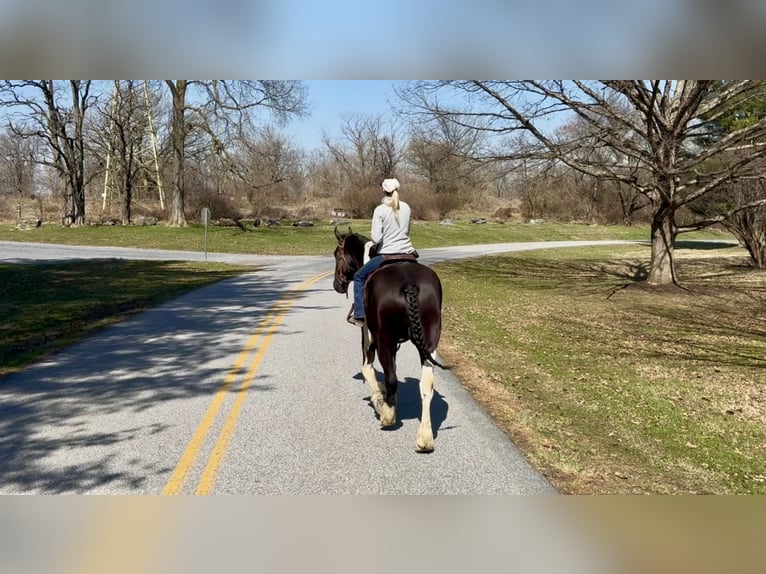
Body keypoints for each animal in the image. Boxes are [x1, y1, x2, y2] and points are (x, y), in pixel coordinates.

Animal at [332, 226, 446, 453]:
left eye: (335, 254)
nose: (336, 285)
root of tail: (410, 285)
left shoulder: (369, 335)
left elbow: (367, 368)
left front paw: (379, 400)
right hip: (430, 342)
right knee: (426, 385)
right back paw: (425, 438)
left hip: (383, 338)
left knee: (391, 377)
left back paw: (387, 416)